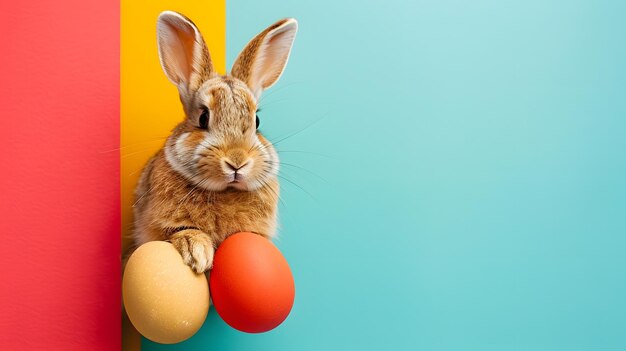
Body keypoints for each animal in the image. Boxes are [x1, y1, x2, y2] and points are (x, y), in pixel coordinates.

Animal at [129, 10, 298, 276]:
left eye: (257, 121)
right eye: (203, 117)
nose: (237, 162)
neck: (225, 192)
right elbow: (181, 231)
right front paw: (197, 251)